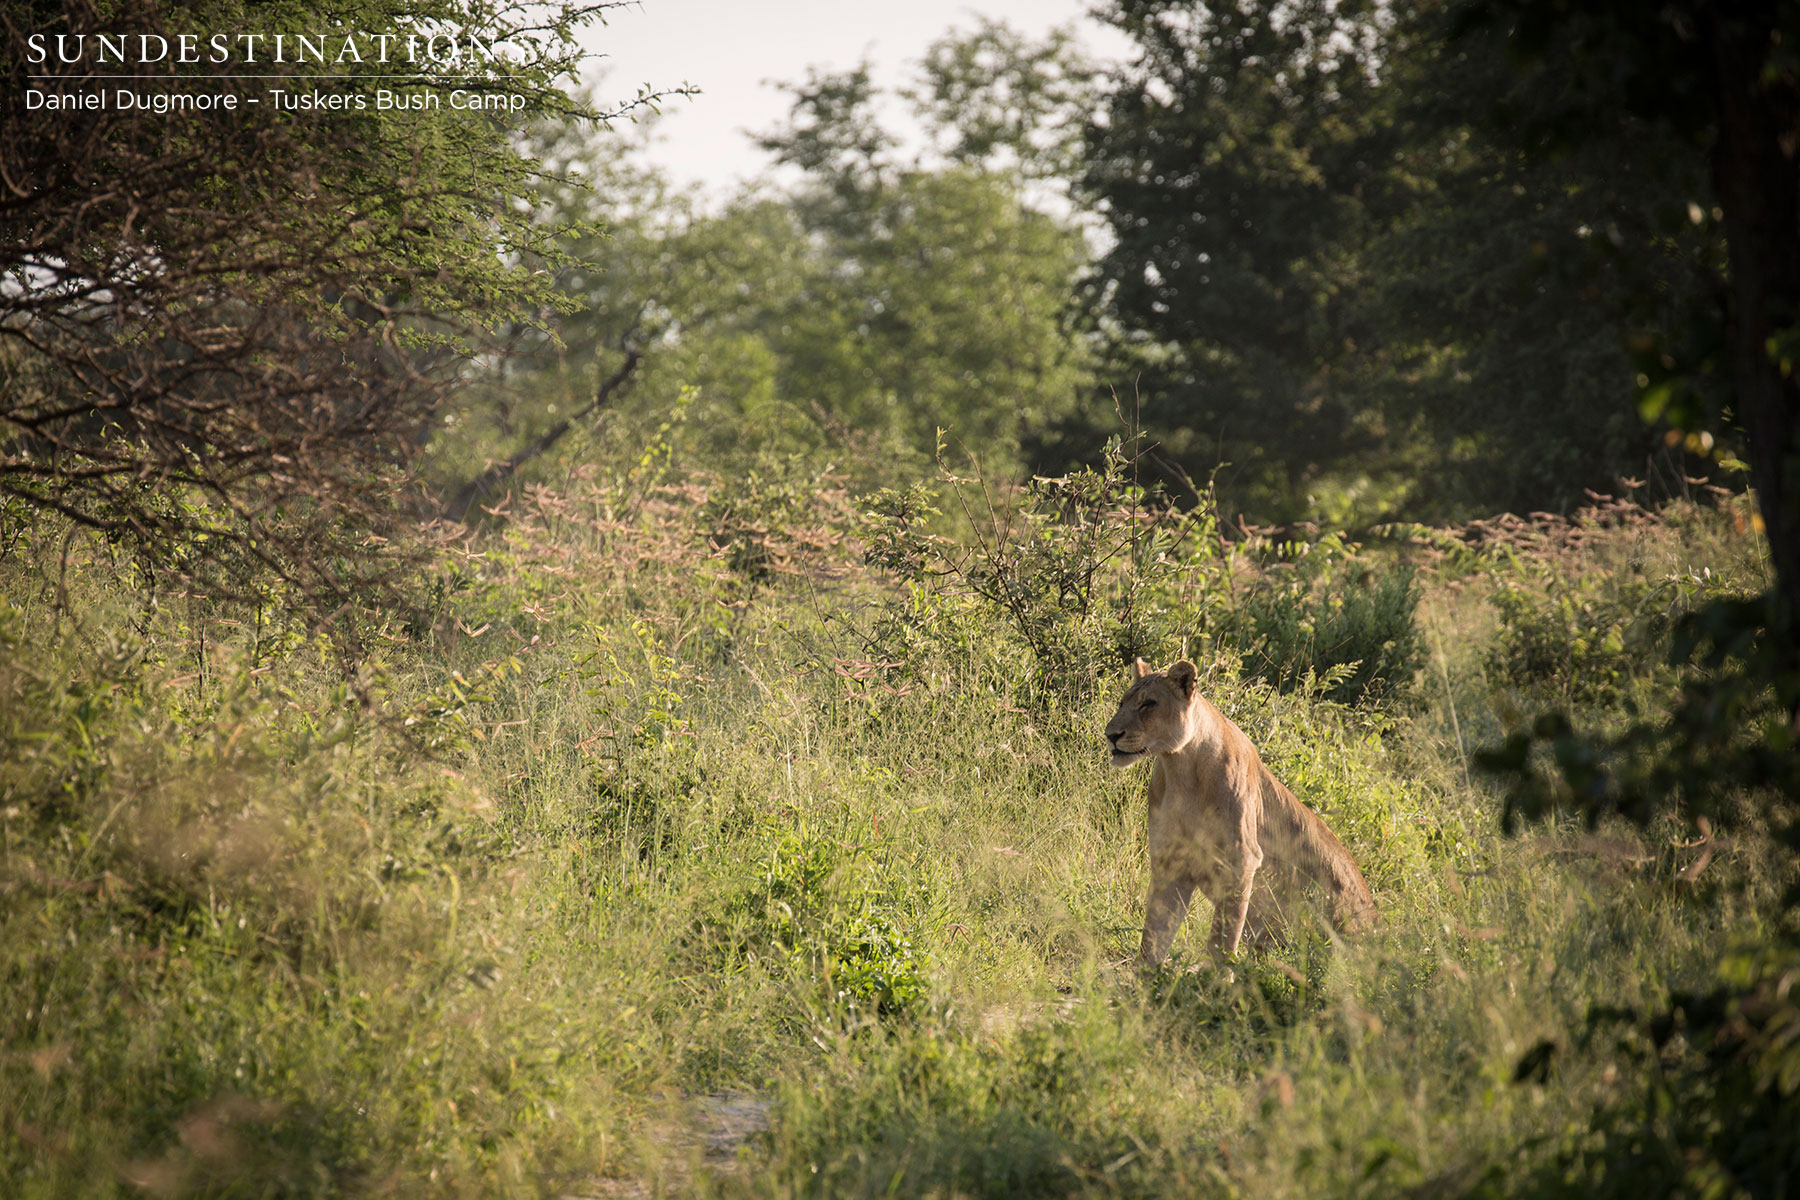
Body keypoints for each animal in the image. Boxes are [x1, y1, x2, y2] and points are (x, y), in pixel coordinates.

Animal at [1105, 658, 1376, 968]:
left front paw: (1213, 980)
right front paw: (1144, 978)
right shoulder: (1170, 861)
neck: (1181, 769)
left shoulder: (1241, 862)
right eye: (1122, 702)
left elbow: (1222, 939)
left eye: (1147, 704)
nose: (1110, 735)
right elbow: (1154, 935)